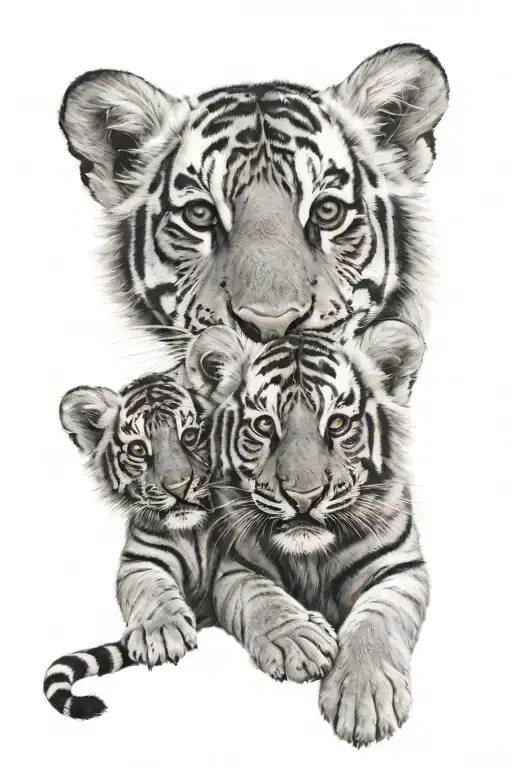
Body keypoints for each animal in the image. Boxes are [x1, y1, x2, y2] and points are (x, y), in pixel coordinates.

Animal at [44, 367, 217, 719]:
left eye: (191, 435)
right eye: (138, 449)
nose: (179, 487)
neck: (191, 530)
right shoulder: (141, 561)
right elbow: (150, 591)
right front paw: (161, 633)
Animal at [183, 319, 429, 747]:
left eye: (337, 423)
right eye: (265, 425)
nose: (304, 495)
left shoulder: (400, 568)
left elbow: (377, 620)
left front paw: (364, 696)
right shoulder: (236, 568)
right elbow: (262, 600)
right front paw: (299, 640)